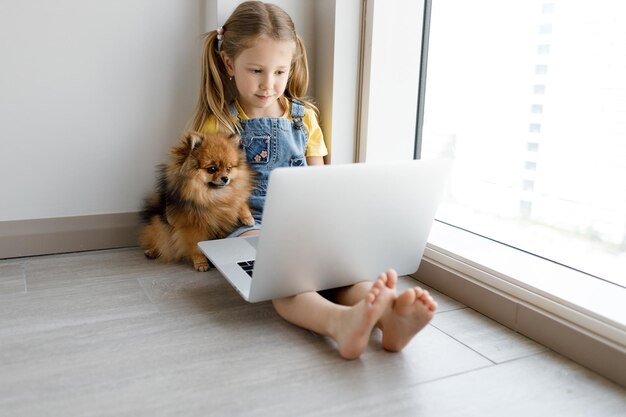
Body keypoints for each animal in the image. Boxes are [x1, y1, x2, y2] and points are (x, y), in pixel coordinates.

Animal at [139, 132, 254, 272]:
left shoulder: (232, 198)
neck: (211, 196)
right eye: (212, 169)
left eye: (228, 168)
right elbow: (196, 246)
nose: (225, 178)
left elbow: (240, 201)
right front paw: (201, 262)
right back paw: (152, 251)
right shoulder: (192, 227)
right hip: (160, 224)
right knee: (161, 241)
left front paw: (248, 218)